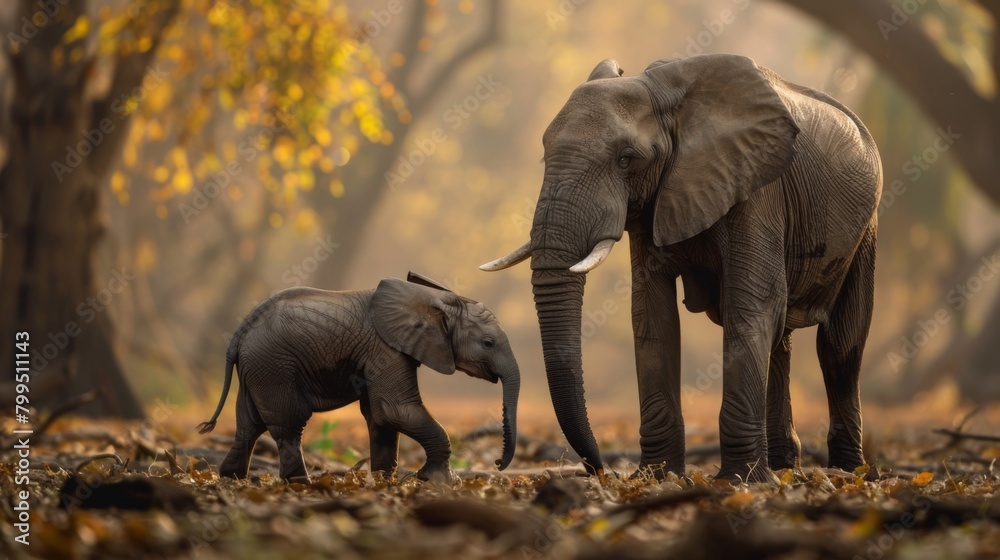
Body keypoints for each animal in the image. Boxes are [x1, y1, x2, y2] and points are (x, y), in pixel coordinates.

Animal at [197, 272, 520, 482]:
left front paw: (384, 481)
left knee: (249, 424)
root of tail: (240, 333)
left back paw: (231, 478)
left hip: (257, 366)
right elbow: (394, 409)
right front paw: (441, 482)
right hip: (273, 365)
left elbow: (380, 416)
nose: (497, 463)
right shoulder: (386, 348)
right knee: (289, 423)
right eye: (488, 343)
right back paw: (301, 485)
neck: (435, 298)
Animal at [482, 54, 882, 483]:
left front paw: (738, 481)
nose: (600, 470)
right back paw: (783, 469)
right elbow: (652, 317)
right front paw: (658, 477)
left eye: (626, 159)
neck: (661, 91)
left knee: (839, 346)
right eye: (545, 155)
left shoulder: (756, 192)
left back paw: (846, 472)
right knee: (782, 341)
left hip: (867, 227)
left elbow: (749, 310)